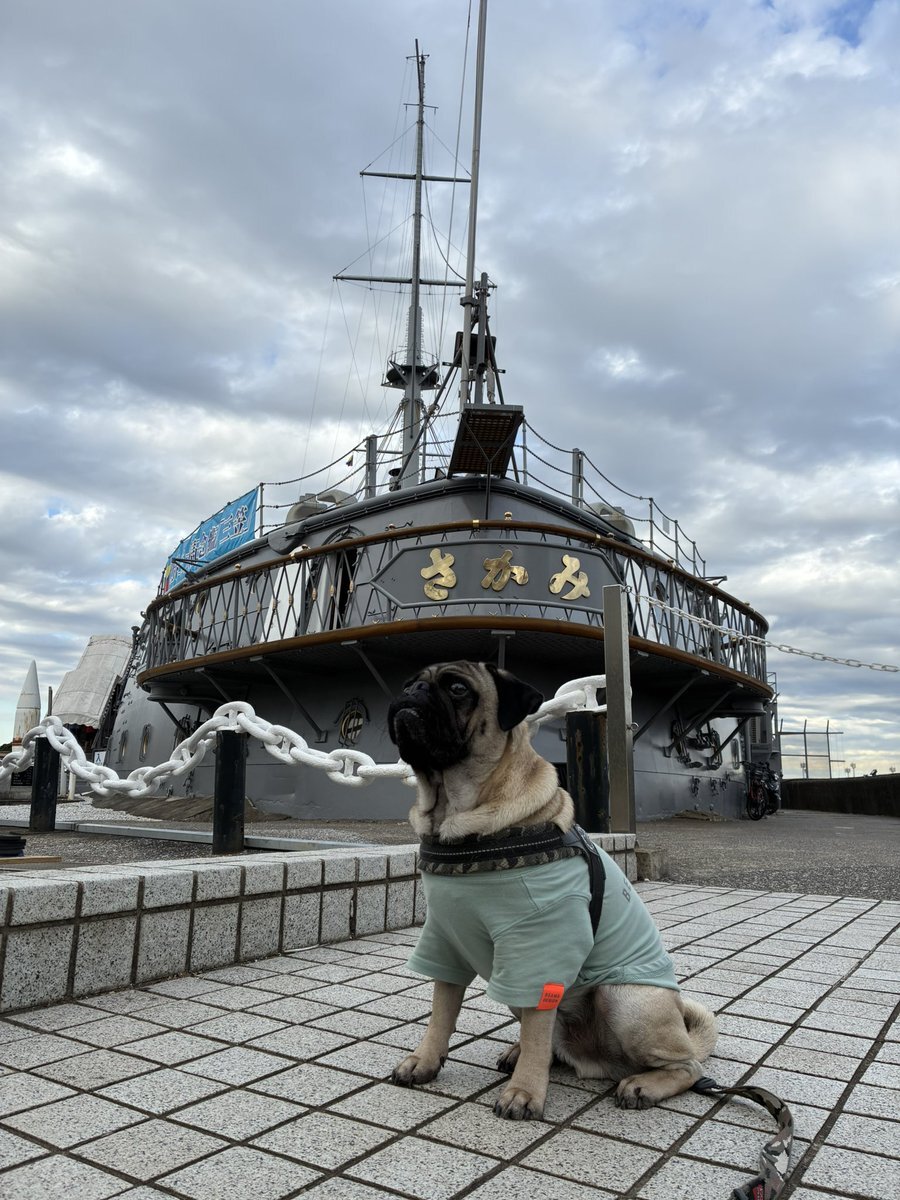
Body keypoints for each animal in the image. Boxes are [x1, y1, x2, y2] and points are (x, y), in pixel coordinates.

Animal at [387, 660, 717, 1120]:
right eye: (409, 682)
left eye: (457, 689)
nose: (412, 692)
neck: (458, 816)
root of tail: (600, 1062)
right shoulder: (445, 940)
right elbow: (441, 1012)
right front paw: (425, 1061)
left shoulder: (539, 952)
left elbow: (536, 1033)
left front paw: (525, 1093)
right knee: (550, 1042)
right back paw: (524, 1053)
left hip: (627, 998)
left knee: (686, 1066)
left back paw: (642, 1085)